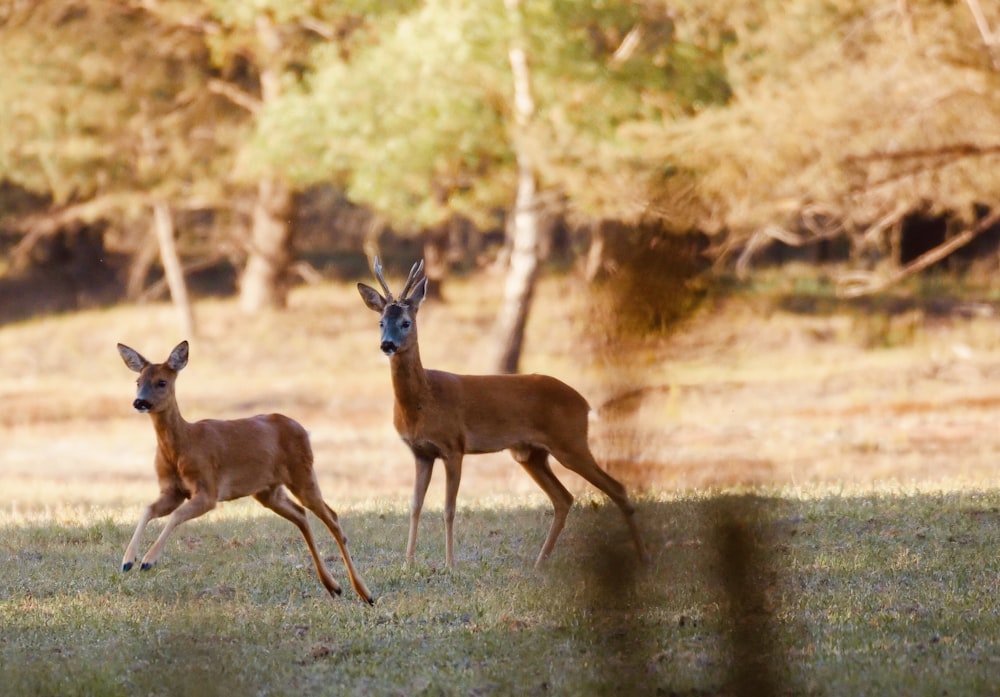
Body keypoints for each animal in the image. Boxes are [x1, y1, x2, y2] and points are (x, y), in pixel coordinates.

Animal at [117, 340, 374, 600]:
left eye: (162, 382)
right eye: (138, 382)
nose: (139, 402)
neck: (183, 445)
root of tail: (304, 430)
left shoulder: (208, 489)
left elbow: (176, 515)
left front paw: (148, 561)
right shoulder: (172, 491)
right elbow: (148, 510)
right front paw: (128, 561)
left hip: (302, 472)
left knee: (332, 517)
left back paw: (364, 593)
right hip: (268, 490)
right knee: (301, 515)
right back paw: (333, 586)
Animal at [360, 258, 648, 568]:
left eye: (406, 322)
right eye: (381, 322)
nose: (387, 344)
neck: (423, 401)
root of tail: (584, 403)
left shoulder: (454, 446)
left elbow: (449, 508)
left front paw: (450, 564)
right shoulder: (421, 453)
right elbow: (414, 506)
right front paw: (408, 564)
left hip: (570, 442)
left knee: (616, 488)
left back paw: (643, 558)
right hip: (531, 454)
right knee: (564, 498)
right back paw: (539, 563)